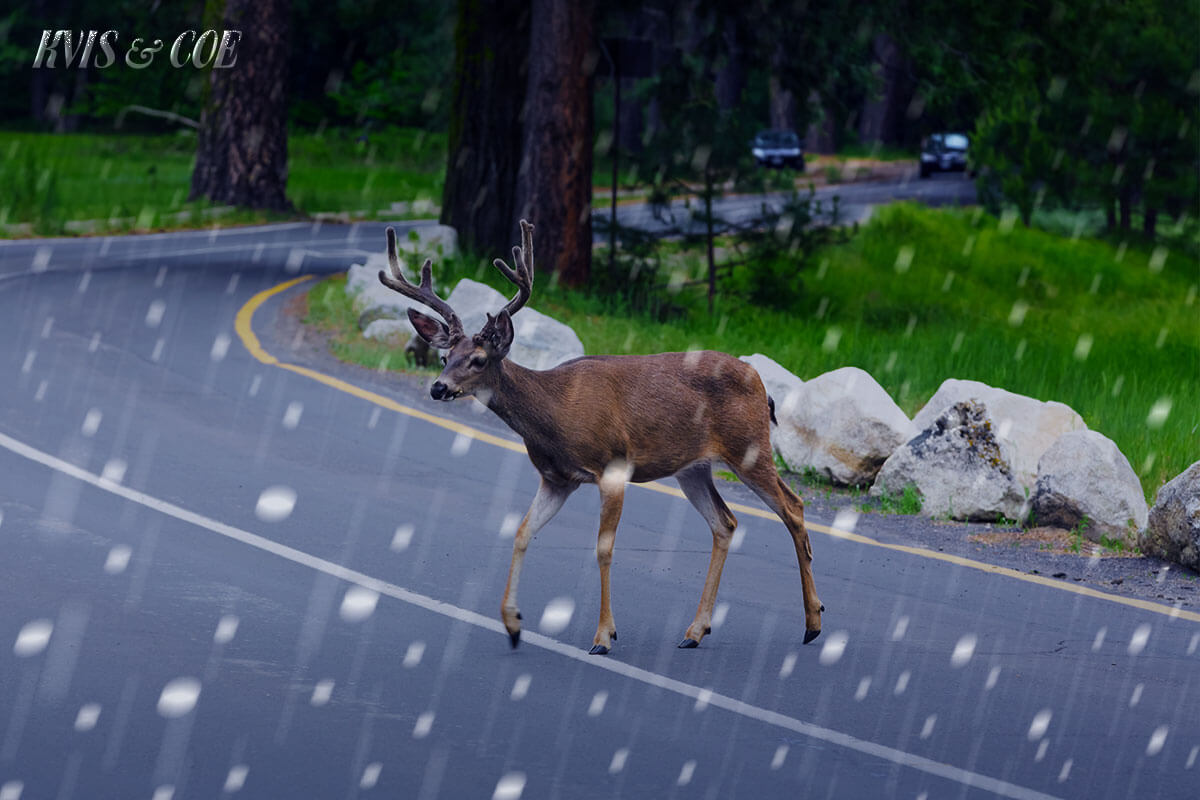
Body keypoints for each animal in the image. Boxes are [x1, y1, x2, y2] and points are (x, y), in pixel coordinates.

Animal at [377, 220, 823, 654]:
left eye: (478, 359)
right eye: (444, 356)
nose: (438, 387)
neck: (555, 415)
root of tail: (762, 385)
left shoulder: (613, 467)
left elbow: (603, 549)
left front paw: (604, 636)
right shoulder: (556, 479)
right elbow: (522, 532)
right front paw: (513, 624)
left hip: (748, 446)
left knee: (793, 507)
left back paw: (813, 623)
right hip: (692, 468)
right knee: (726, 522)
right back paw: (696, 631)